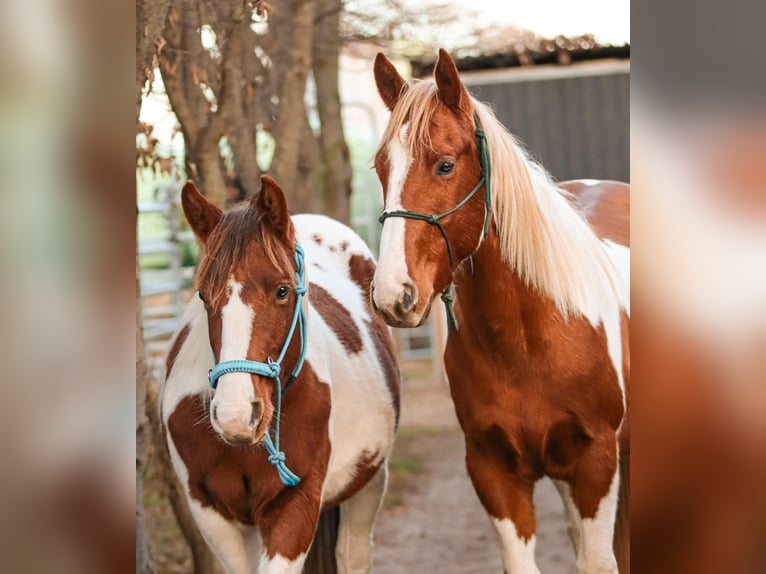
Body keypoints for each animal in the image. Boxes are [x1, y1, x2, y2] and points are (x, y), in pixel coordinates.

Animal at [160, 175, 400, 574]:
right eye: (204, 296)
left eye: (282, 291)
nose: (237, 415)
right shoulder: (213, 516)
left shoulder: (295, 507)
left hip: (368, 483)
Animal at [370, 49, 630, 573]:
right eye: (381, 169)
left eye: (445, 165)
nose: (393, 295)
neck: (526, 338)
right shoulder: (493, 469)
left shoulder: (598, 461)